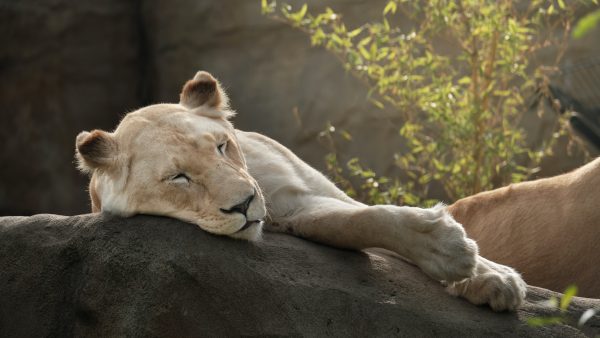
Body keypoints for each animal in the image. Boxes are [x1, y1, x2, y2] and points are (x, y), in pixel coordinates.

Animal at [74, 70, 524, 312]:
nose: (245, 204)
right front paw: (461, 259)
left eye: (221, 145)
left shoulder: (296, 195)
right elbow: (357, 224)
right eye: (178, 177)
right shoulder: (296, 216)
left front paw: (480, 270)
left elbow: (369, 213)